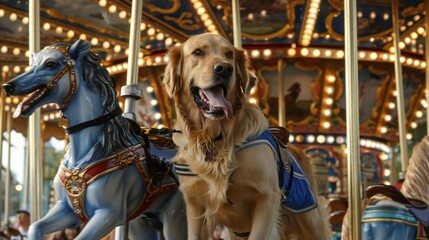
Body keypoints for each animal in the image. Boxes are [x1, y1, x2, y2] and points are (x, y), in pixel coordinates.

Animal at [162, 32, 330, 239]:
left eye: (229, 54)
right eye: (198, 52)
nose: (225, 69)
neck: (215, 136)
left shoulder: (267, 198)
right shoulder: (195, 206)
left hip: (309, 218)